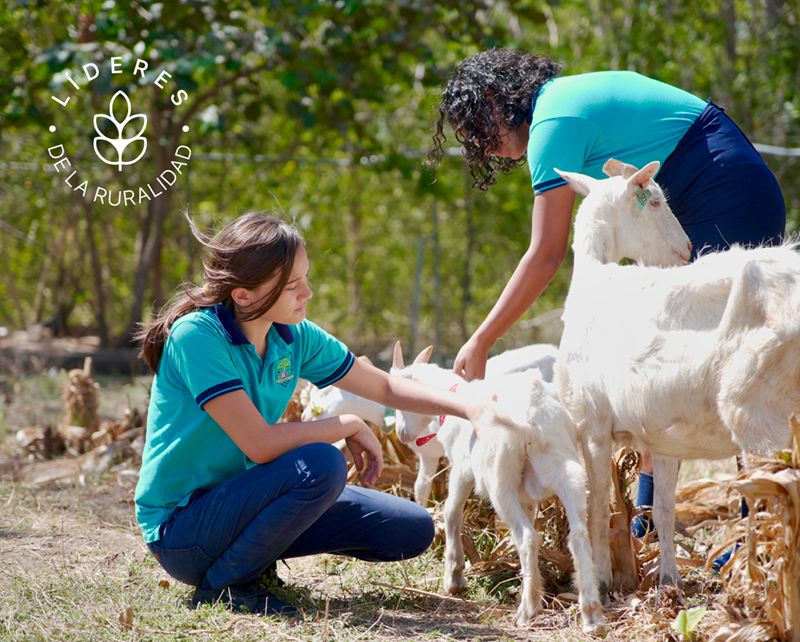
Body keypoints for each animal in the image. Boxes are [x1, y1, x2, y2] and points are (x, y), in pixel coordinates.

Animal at [390, 340, 604, 632]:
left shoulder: (461, 468)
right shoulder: (527, 496)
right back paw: (591, 614)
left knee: (527, 537)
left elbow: (451, 512)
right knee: (578, 534)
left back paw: (528, 610)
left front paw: (454, 578)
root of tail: (531, 419)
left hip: (498, 477)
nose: (402, 434)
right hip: (566, 468)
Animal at [552, 159, 800, 596]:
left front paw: (600, 580)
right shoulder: (662, 434)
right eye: (653, 201)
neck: (594, 279)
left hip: (760, 411)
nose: (686, 248)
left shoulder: (591, 423)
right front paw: (669, 580)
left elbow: (596, 506)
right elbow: (664, 508)